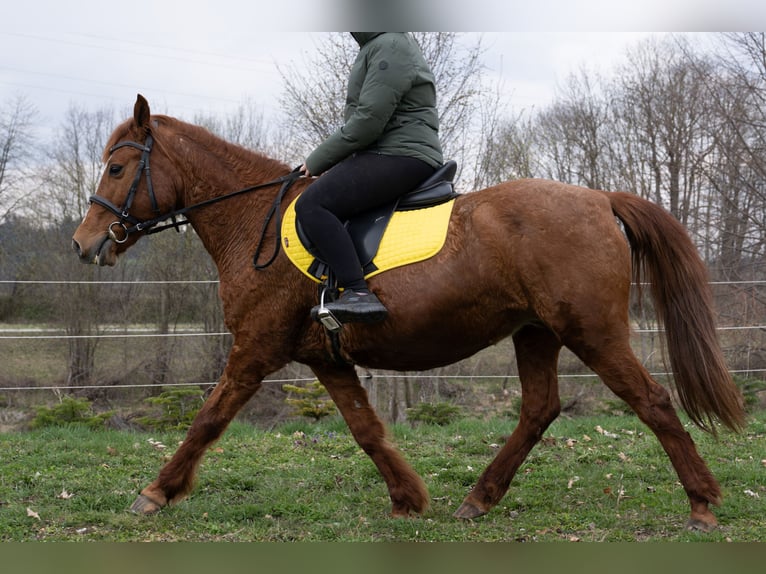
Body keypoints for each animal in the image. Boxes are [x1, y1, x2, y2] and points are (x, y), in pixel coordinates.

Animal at [72, 95, 744, 532]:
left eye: (118, 167)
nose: (84, 244)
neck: (252, 218)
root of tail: (601, 198)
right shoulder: (326, 359)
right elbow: (366, 430)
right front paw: (407, 499)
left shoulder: (254, 350)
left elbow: (207, 420)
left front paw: (156, 493)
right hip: (536, 333)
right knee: (539, 411)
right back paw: (479, 499)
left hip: (593, 332)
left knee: (652, 403)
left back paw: (702, 502)